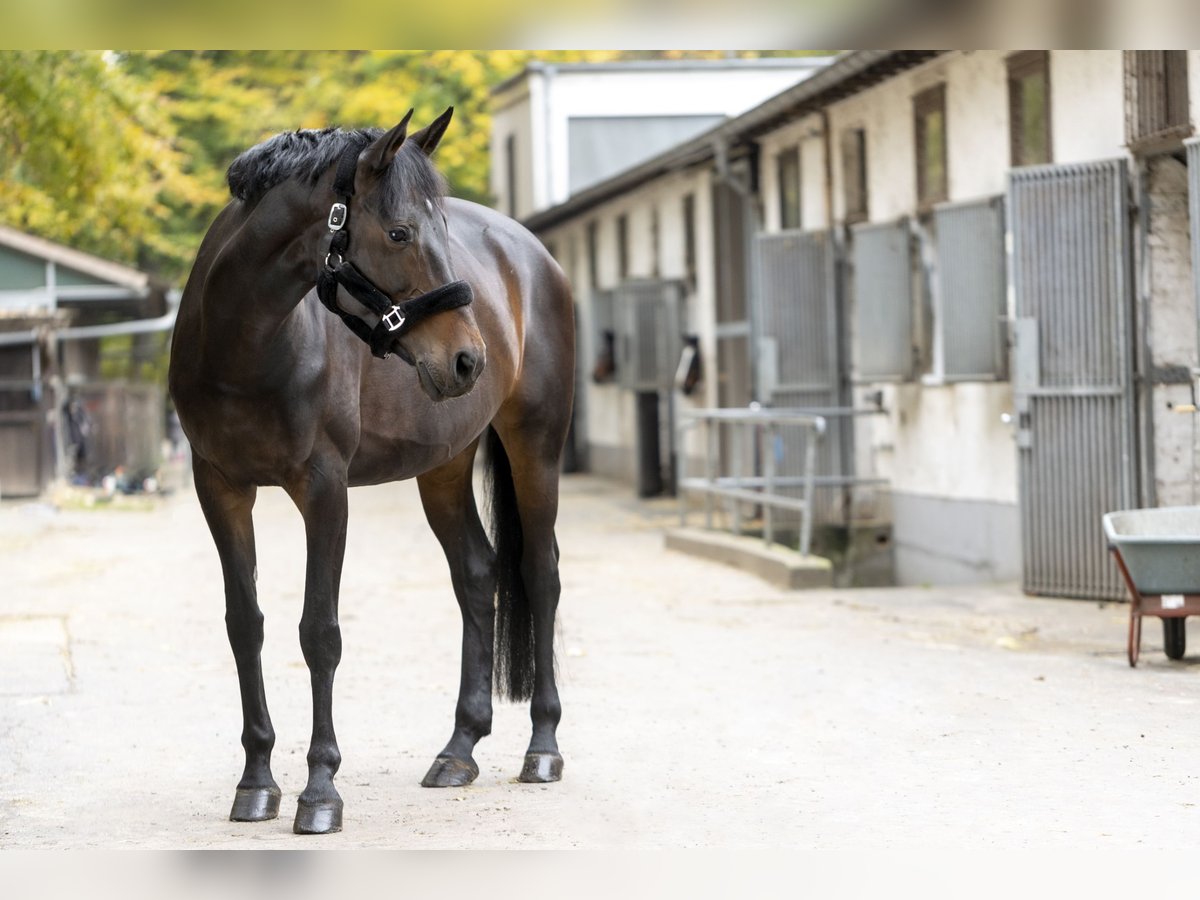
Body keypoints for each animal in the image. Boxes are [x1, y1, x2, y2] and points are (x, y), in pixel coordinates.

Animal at [169, 111, 576, 840]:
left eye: (439, 231)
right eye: (399, 233)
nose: (468, 359)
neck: (245, 344)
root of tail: (533, 255)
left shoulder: (325, 491)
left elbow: (319, 634)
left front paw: (320, 790)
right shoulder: (219, 489)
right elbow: (245, 625)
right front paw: (256, 782)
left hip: (537, 446)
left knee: (539, 573)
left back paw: (543, 748)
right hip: (444, 466)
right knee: (477, 574)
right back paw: (459, 750)